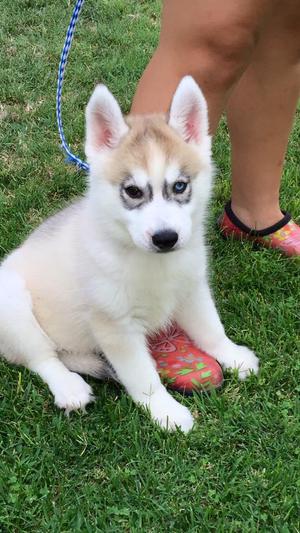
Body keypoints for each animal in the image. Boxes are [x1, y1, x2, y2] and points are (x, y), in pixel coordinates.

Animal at [0, 76, 258, 432]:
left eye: (180, 186)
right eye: (133, 191)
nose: (166, 238)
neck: (152, 262)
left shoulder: (192, 288)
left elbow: (210, 328)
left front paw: (232, 355)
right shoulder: (115, 325)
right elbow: (142, 376)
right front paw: (165, 410)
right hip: (11, 301)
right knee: (41, 356)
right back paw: (68, 386)